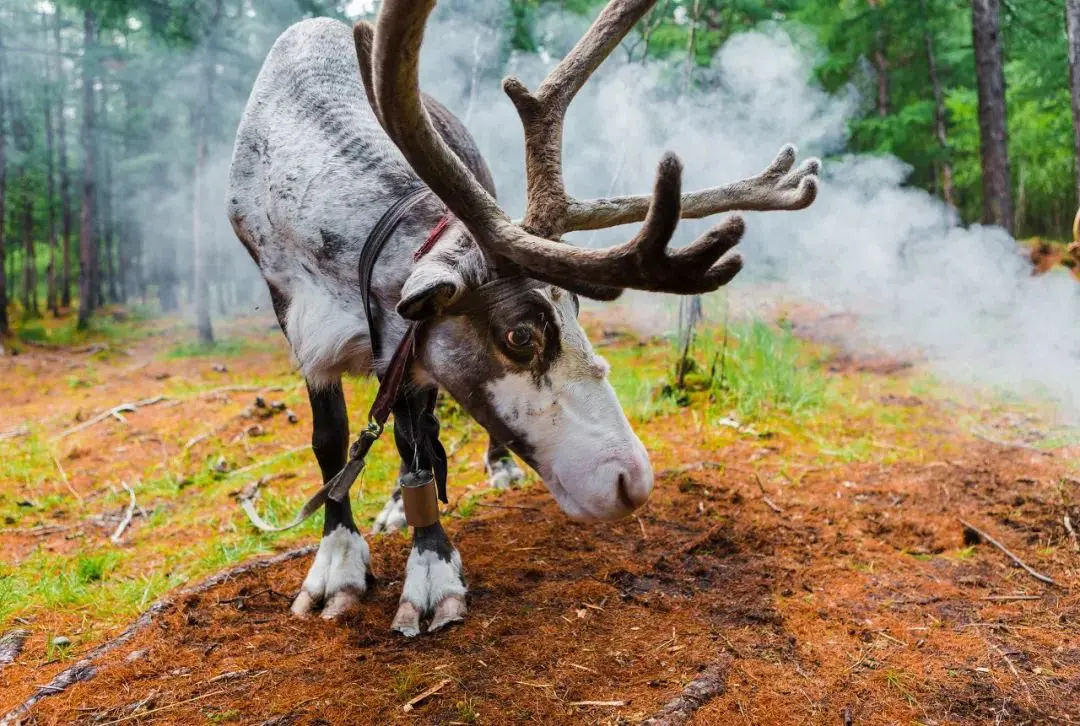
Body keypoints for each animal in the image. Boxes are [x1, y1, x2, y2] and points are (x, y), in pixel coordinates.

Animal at [227, 0, 819, 637]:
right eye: (521, 333)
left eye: (577, 307)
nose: (632, 481)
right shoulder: (299, 318)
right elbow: (331, 439)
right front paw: (337, 562)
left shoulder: (405, 339)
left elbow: (412, 441)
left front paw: (431, 571)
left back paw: (487, 471)